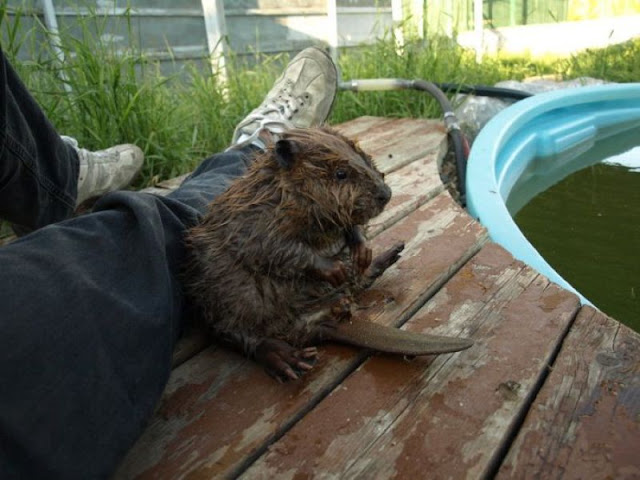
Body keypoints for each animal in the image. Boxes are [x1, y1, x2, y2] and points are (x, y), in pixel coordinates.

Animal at [182, 125, 472, 380]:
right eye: (341, 173)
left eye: (364, 158)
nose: (385, 194)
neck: (280, 190)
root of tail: (321, 324)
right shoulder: (254, 218)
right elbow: (272, 246)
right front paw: (334, 269)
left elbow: (349, 228)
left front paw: (362, 250)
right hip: (231, 302)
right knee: (246, 336)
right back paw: (289, 358)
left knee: (355, 287)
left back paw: (381, 260)